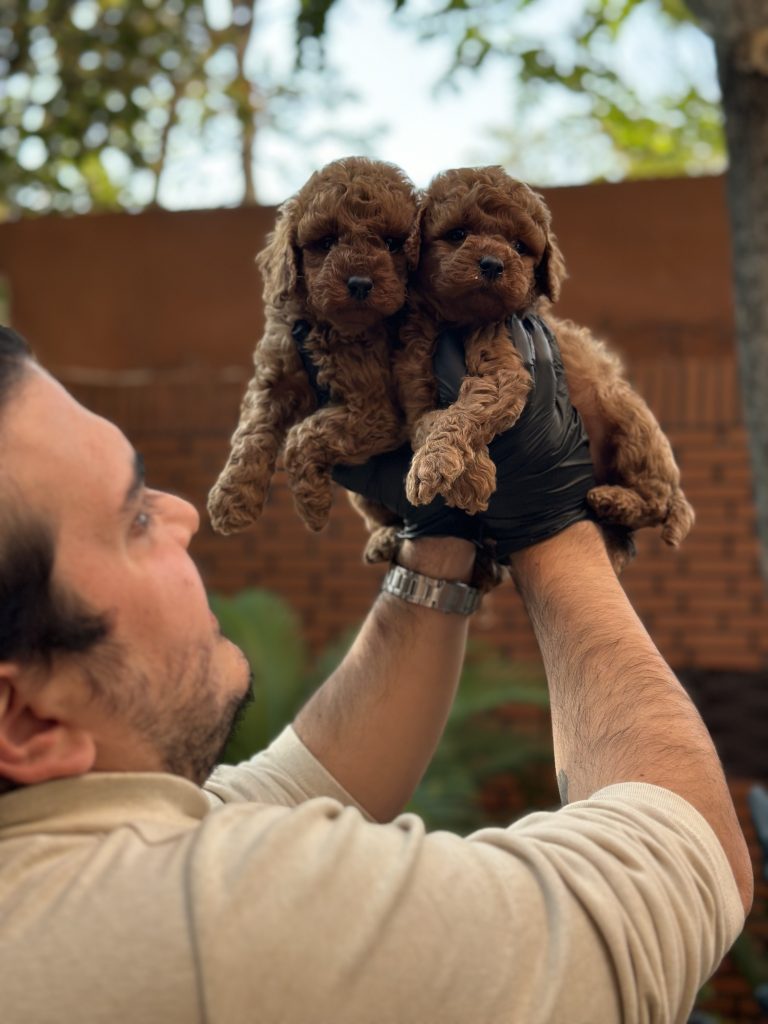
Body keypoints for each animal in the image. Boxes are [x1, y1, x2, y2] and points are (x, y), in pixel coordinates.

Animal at [207, 155, 417, 540]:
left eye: (392, 243)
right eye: (327, 241)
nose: (360, 283)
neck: (332, 328)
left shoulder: (376, 411)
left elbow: (304, 435)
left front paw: (313, 506)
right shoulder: (275, 374)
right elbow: (251, 432)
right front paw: (232, 499)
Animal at [397, 165, 696, 552]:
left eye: (519, 246)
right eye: (458, 234)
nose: (492, 264)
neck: (460, 322)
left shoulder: (506, 370)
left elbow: (465, 409)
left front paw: (439, 469)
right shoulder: (416, 387)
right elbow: (429, 421)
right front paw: (468, 476)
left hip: (629, 420)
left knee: (657, 501)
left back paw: (615, 500)